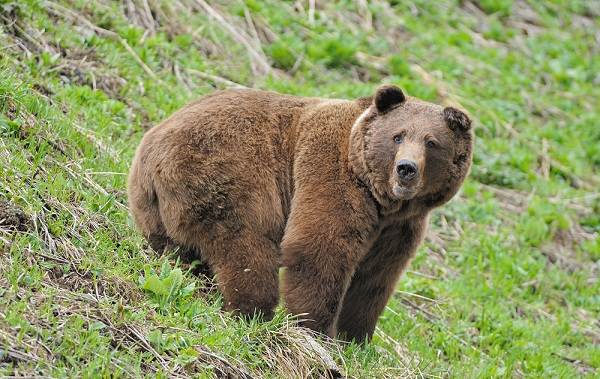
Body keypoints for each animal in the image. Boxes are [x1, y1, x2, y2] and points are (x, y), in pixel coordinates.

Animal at [127, 84, 474, 342]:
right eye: (398, 135)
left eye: (432, 142)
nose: (406, 169)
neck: (383, 200)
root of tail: (152, 153)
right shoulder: (331, 175)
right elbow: (319, 250)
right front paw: (315, 329)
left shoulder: (401, 228)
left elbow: (375, 278)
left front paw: (356, 339)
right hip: (227, 174)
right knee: (246, 246)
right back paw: (254, 312)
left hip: (155, 211)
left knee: (181, 252)